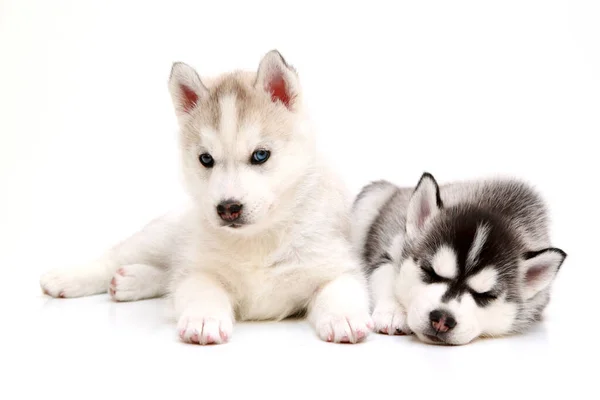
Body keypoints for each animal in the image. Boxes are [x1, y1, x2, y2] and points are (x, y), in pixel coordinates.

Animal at [39, 49, 372, 344]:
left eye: (260, 155)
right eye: (206, 159)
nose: (228, 208)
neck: (257, 240)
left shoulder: (337, 267)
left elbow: (339, 291)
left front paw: (343, 318)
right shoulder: (200, 271)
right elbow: (202, 291)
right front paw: (203, 319)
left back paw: (130, 281)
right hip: (164, 235)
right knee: (120, 257)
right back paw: (68, 278)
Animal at [352, 172, 568, 344]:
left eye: (485, 296)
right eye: (430, 272)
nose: (441, 319)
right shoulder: (392, 247)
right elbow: (384, 273)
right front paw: (393, 311)